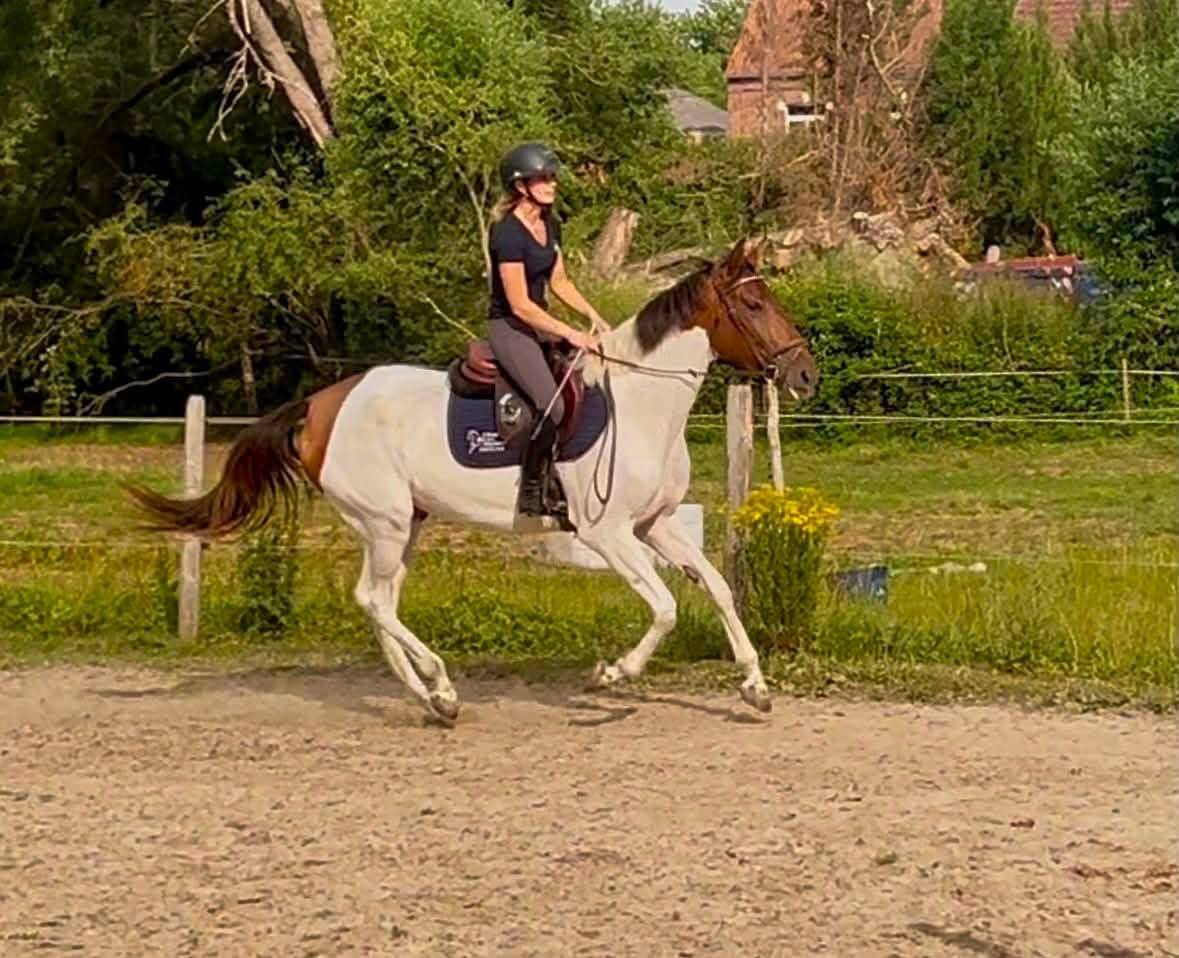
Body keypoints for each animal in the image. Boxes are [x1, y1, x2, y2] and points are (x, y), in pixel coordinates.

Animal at [126, 237, 819, 725]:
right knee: (374, 600)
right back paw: (439, 681)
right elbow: (667, 607)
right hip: (386, 522)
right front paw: (612, 674)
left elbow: (719, 589)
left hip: (403, 524)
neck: (641, 403)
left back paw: (435, 698)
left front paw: (755, 686)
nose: (805, 374)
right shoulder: (609, 534)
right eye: (754, 304)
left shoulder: (658, 524)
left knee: (377, 601)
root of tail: (321, 404)